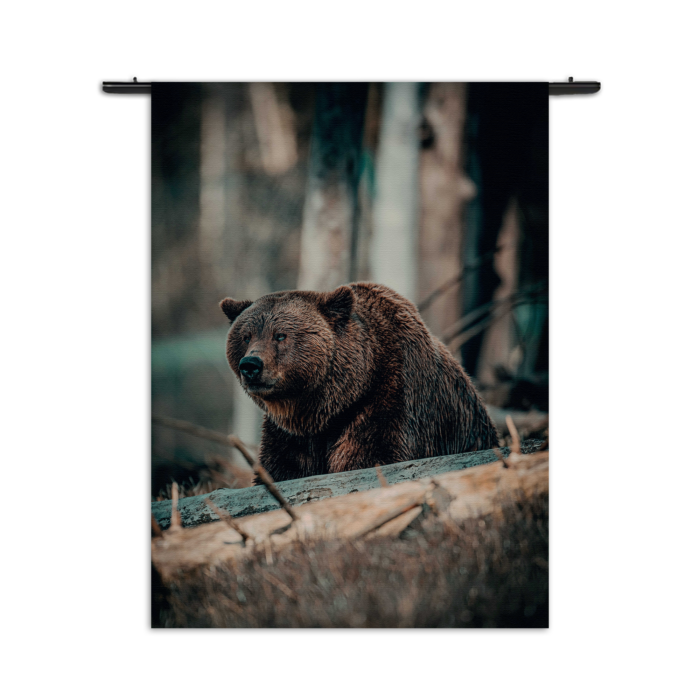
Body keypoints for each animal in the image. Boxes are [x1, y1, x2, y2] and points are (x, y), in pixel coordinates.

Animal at [221, 282, 500, 484]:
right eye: (246, 336)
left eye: (280, 335)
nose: (251, 365)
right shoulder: (291, 434)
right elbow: (281, 468)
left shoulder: (390, 398)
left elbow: (371, 455)